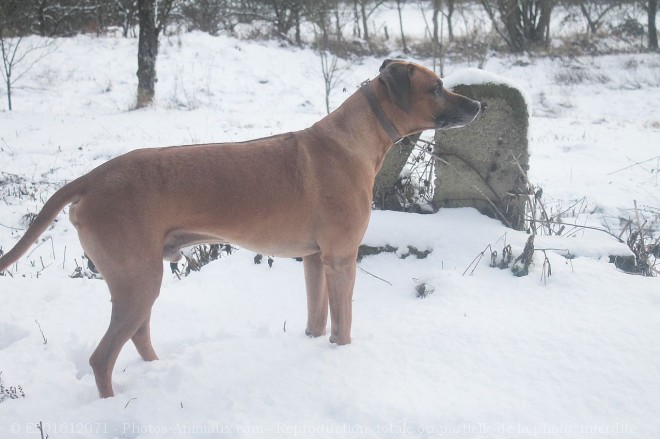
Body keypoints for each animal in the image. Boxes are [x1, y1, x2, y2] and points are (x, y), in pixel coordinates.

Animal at [0, 59, 480, 398]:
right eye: (436, 87)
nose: (479, 105)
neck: (353, 140)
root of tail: (91, 178)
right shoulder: (342, 260)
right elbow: (342, 327)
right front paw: (341, 360)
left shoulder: (314, 259)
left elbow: (316, 318)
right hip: (138, 278)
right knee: (102, 358)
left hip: (139, 278)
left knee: (137, 335)